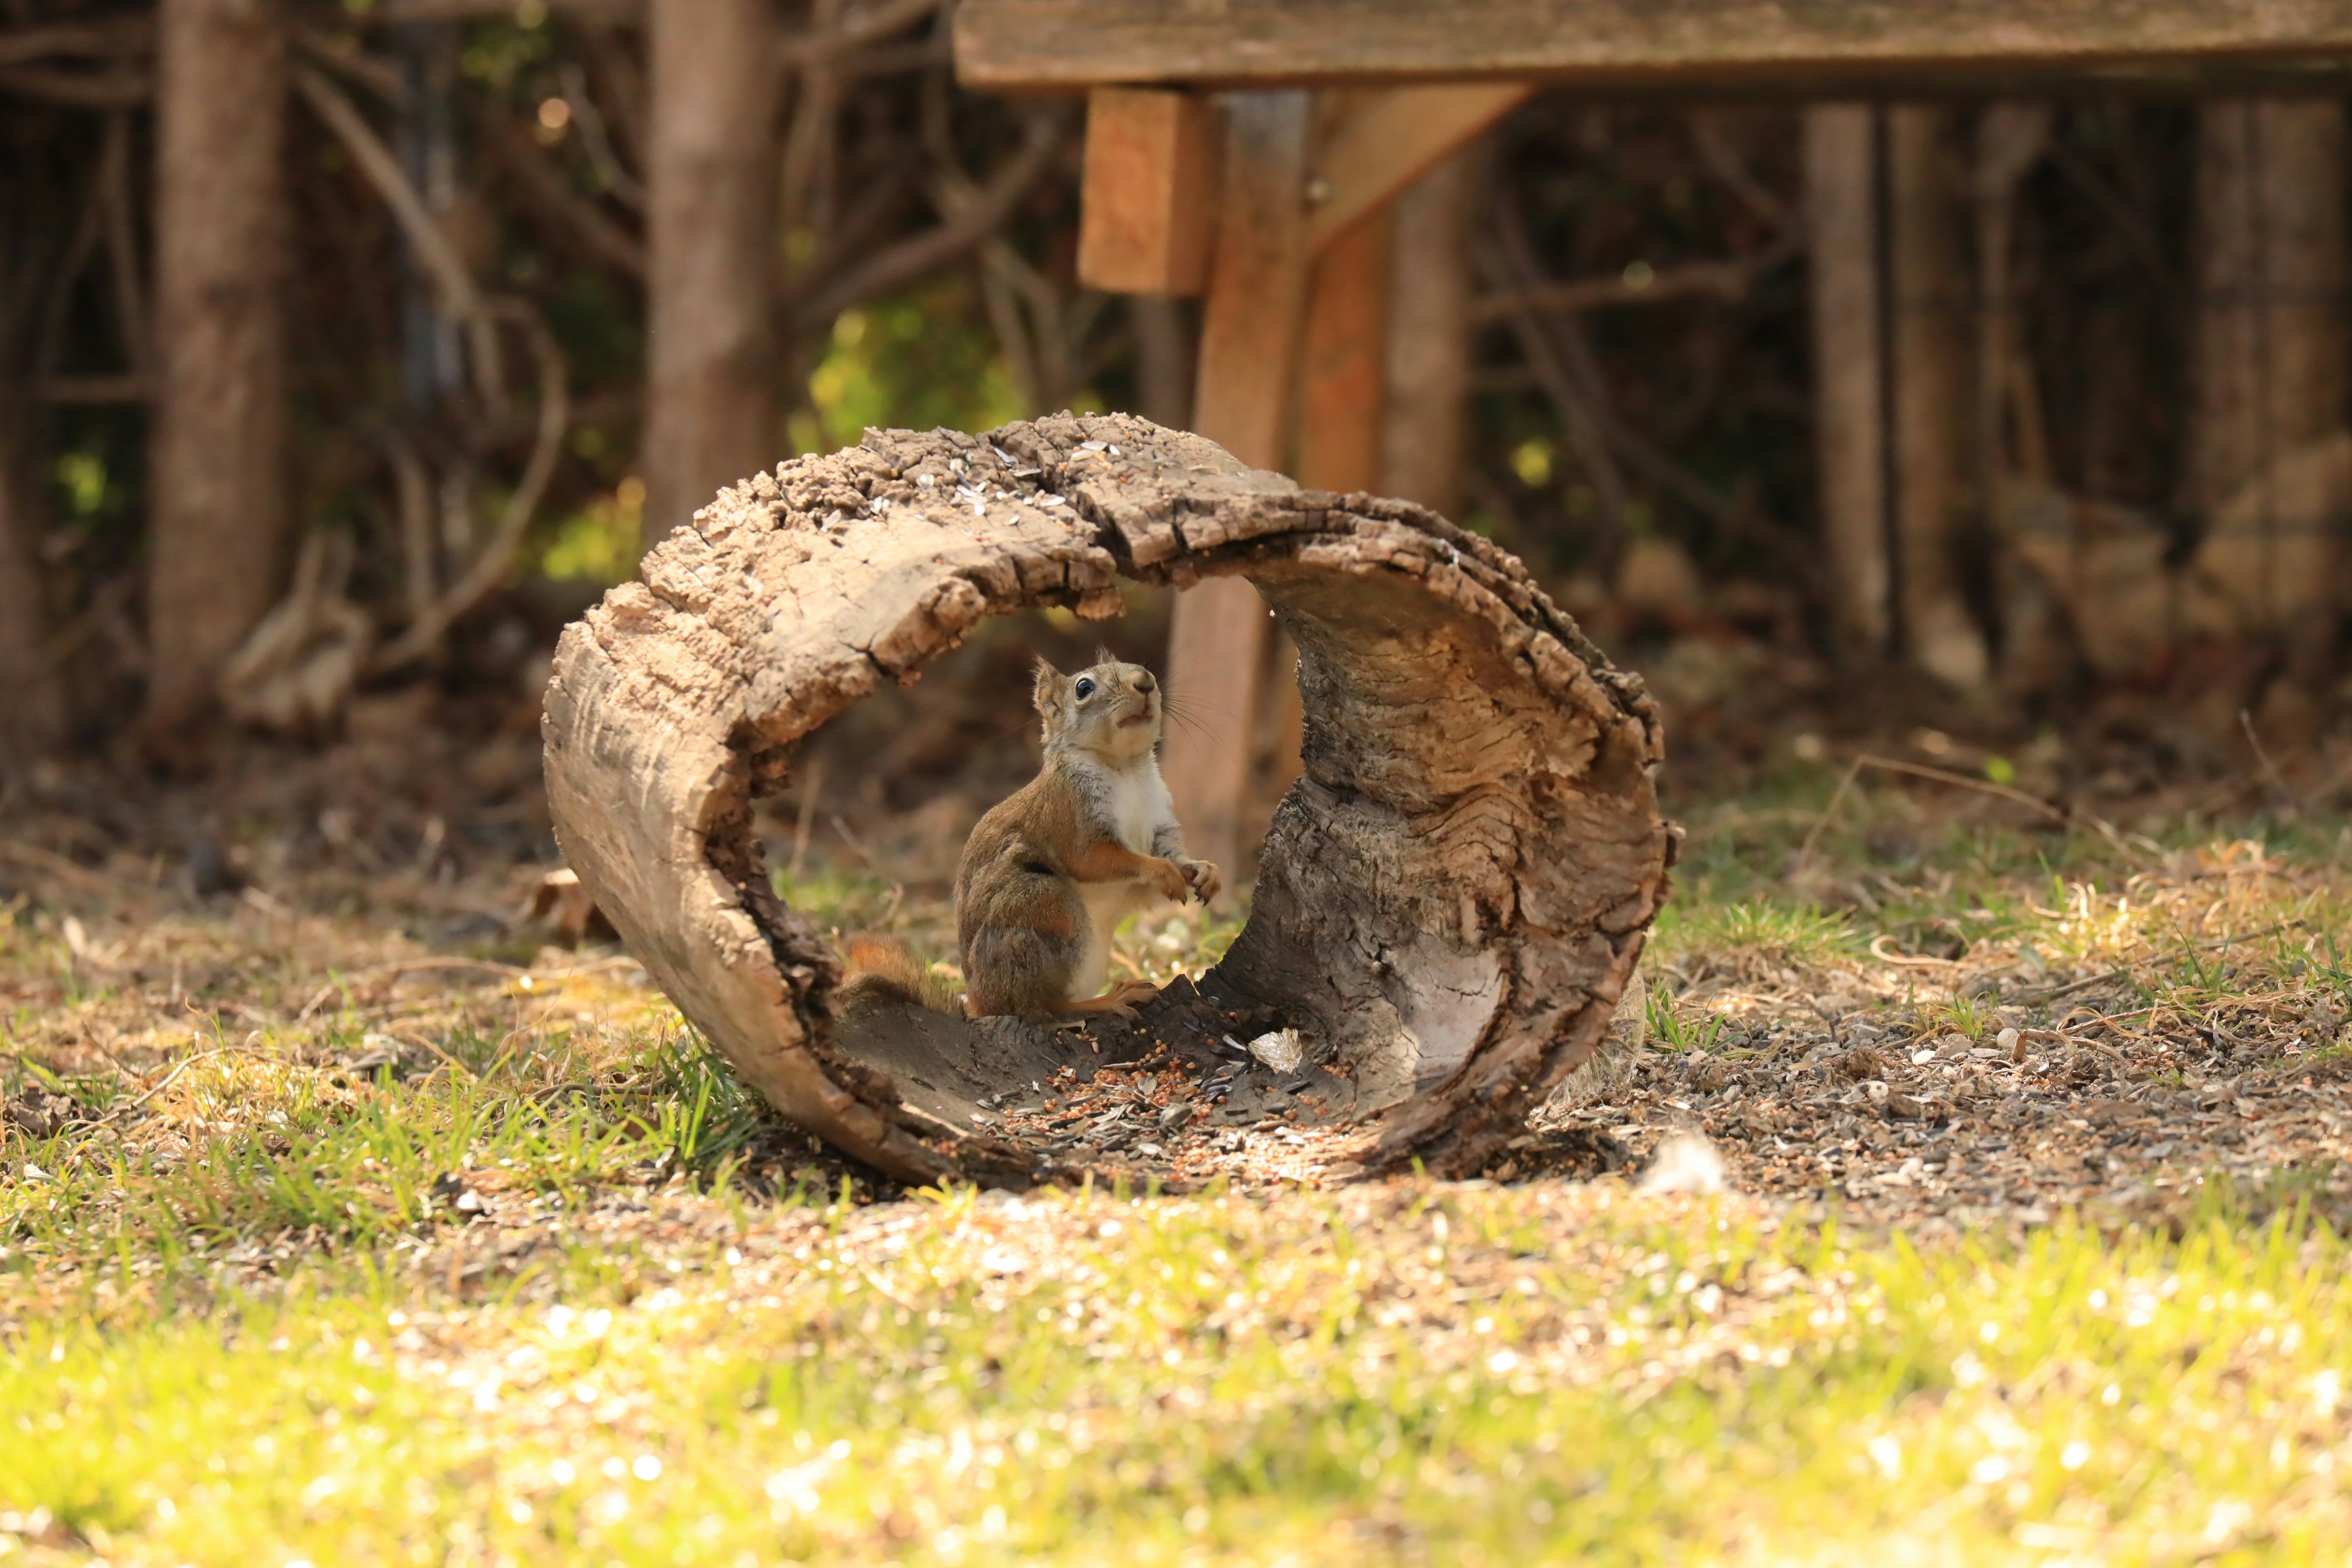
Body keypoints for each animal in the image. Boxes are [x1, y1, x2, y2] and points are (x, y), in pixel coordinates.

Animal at [839, 651, 1220, 1024]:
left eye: (1141, 668)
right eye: (1084, 688)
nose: (1146, 682)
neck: (1125, 769)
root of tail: (978, 1004)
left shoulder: (1159, 824)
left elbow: (1171, 858)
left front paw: (1204, 871)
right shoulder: (1068, 817)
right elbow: (1096, 859)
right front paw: (1163, 872)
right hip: (1042, 908)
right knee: (1039, 1007)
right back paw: (1109, 1000)